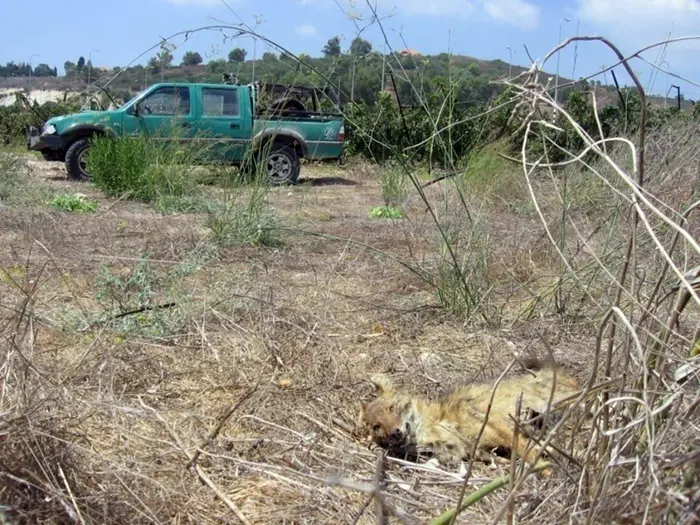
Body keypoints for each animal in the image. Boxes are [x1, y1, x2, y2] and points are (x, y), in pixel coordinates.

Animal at [358, 360, 584, 466]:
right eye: (377, 426)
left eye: (391, 408)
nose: (394, 433)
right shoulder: (482, 448)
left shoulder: (503, 428)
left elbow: (530, 455)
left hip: (560, 396)